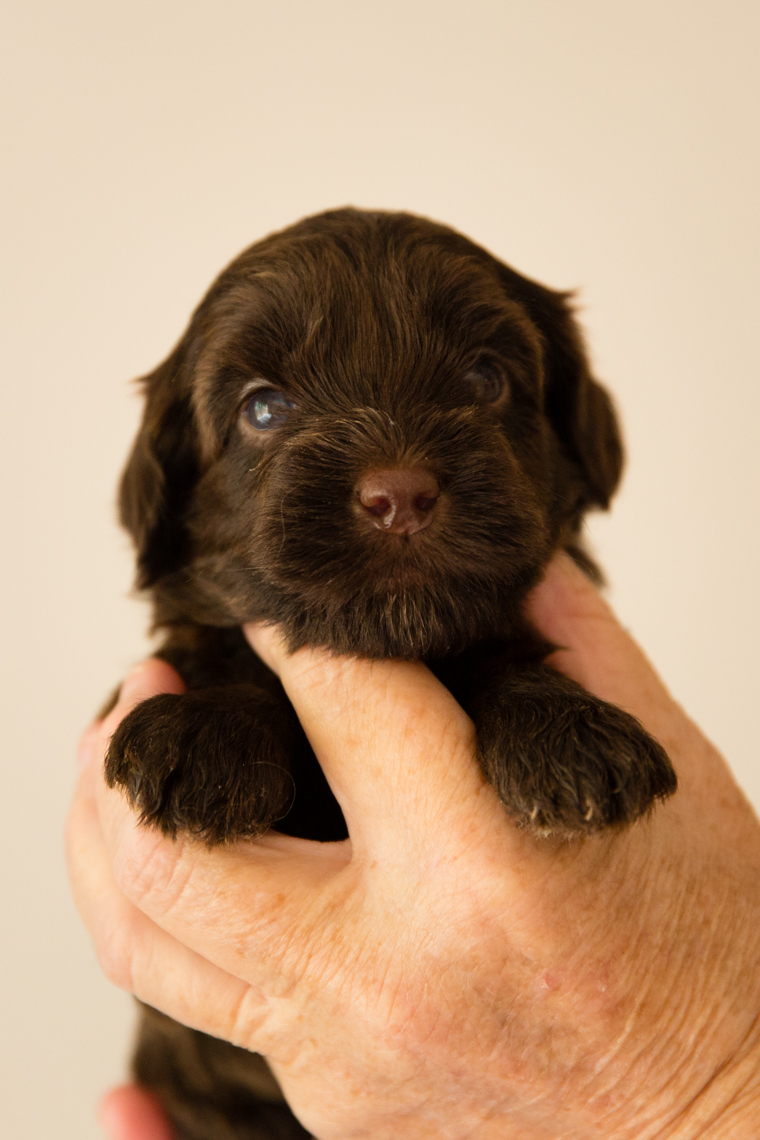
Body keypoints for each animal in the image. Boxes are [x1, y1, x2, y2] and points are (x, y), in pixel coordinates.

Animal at [102, 209, 679, 1135]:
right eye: (263, 407)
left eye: (485, 378)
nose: (398, 495)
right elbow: (226, 651)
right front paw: (206, 732)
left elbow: (505, 654)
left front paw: (572, 737)